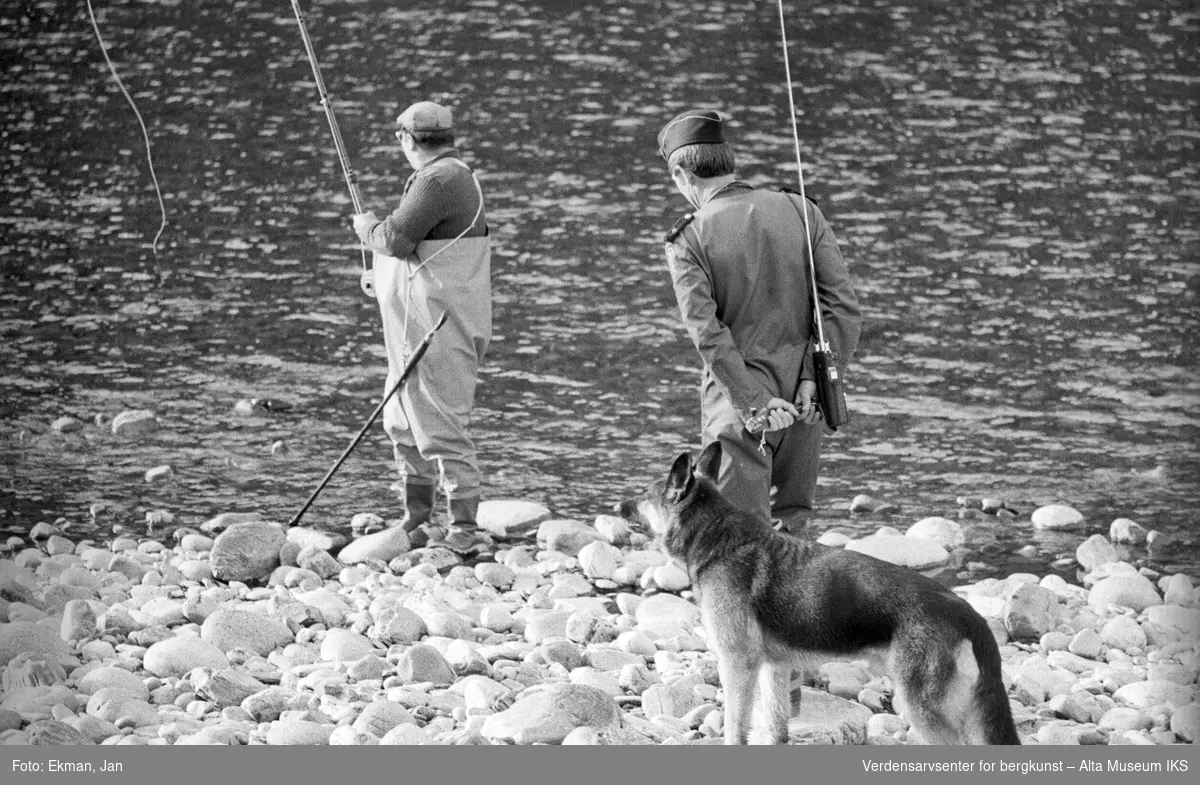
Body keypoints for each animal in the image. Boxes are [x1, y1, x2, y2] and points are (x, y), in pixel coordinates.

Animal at [624, 446, 1017, 748]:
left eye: (644, 495)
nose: (617, 507)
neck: (714, 535)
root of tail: (968, 612)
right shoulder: (773, 669)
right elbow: (776, 728)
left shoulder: (737, 665)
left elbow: (735, 728)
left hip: (923, 708)